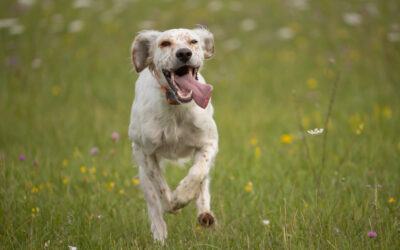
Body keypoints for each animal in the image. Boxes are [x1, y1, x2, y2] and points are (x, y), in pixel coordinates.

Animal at [129, 27, 219, 244]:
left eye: (193, 41)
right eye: (165, 43)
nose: (184, 53)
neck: (176, 108)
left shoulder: (209, 142)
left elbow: (197, 173)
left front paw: (184, 194)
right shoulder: (144, 152)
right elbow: (160, 188)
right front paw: (174, 204)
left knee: (203, 184)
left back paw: (205, 215)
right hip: (142, 173)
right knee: (154, 204)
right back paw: (159, 235)